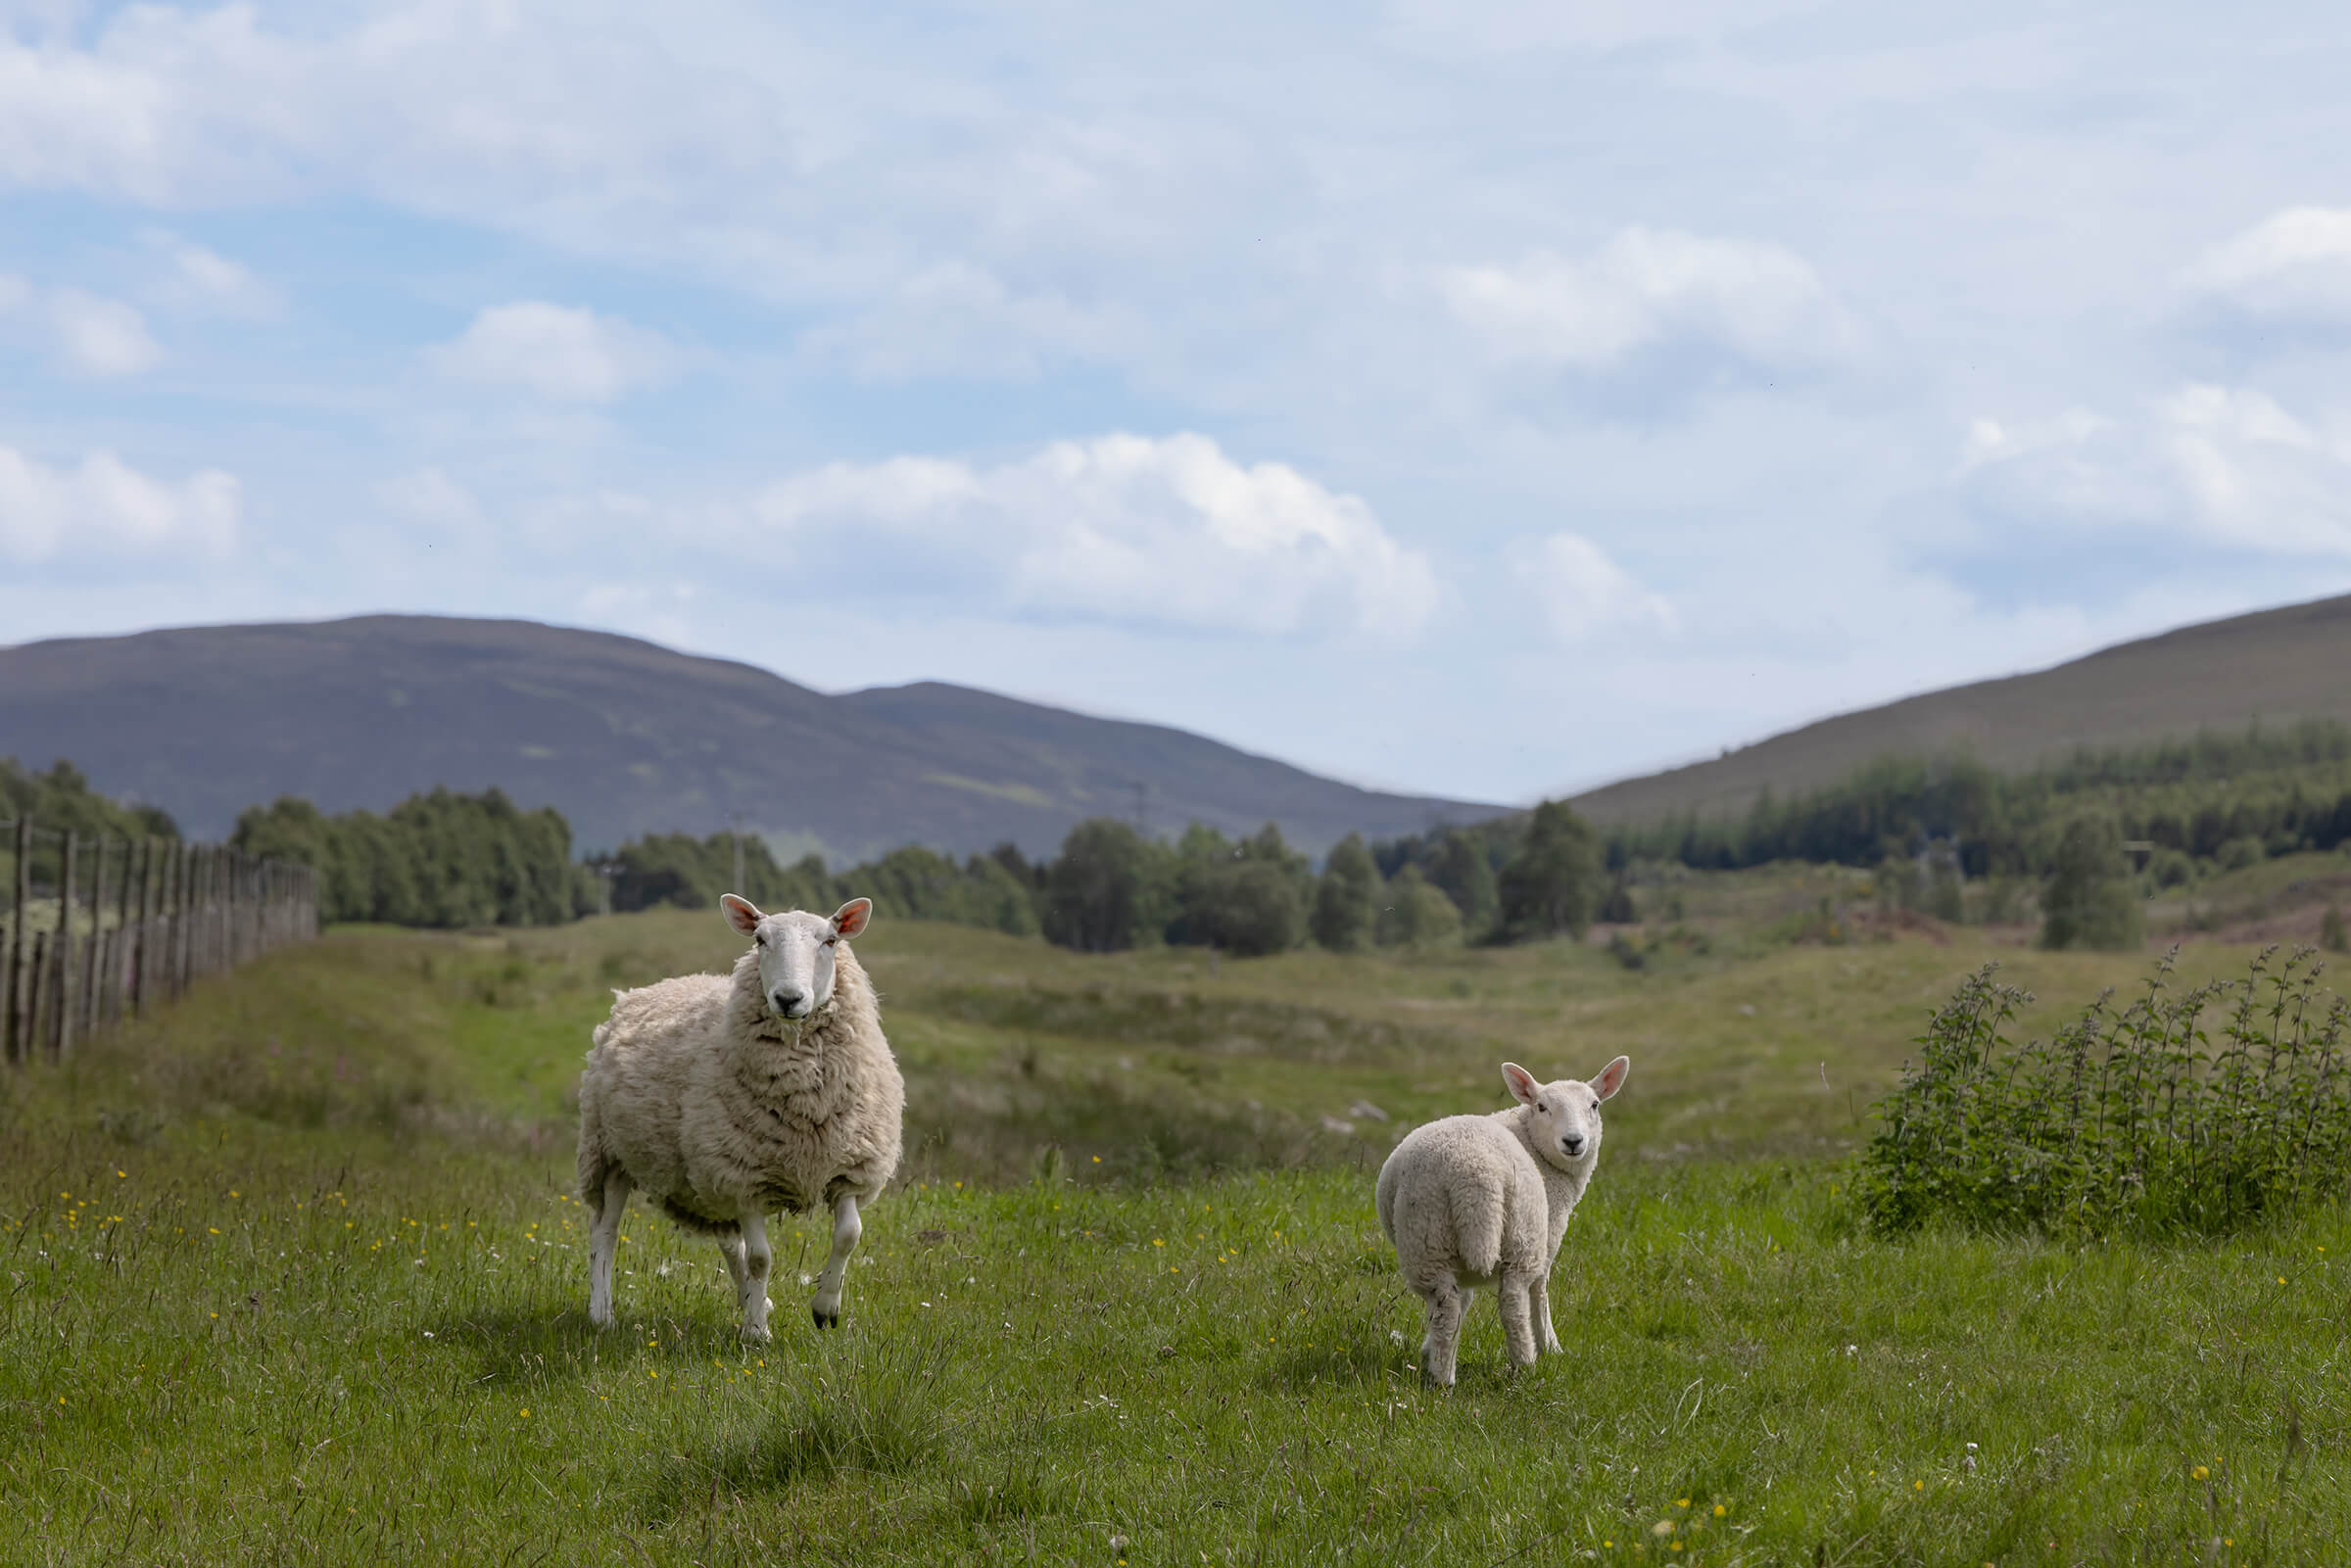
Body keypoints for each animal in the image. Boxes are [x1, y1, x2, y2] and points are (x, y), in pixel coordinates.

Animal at [576, 893, 905, 1342]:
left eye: (831, 940)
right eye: (760, 939)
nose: (788, 998)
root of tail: (639, 991)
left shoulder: (849, 1166)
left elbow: (848, 1237)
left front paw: (824, 1308)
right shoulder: (746, 1176)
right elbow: (762, 1258)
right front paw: (757, 1333)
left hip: (703, 1178)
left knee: (731, 1242)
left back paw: (755, 1300)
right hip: (610, 1153)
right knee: (604, 1233)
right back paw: (601, 1314)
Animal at [1374, 1055, 1630, 1386]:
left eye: (1595, 1105)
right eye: (1541, 1106)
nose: (1573, 1141)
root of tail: (1475, 1174)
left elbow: (1464, 1298)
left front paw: (1426, 1348)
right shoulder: (1548, 1234)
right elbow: (1540, 1291)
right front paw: (1552, 1347)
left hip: (1430, 1235)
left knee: (1447, 1306)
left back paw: (1443, 1373)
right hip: (1520, 1234)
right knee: (1513, 1302)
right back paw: (1523, 1365)